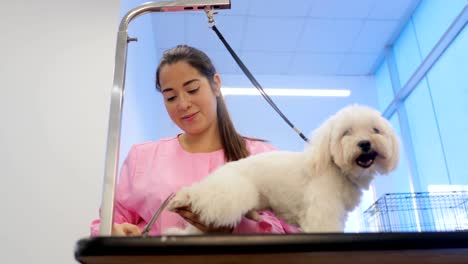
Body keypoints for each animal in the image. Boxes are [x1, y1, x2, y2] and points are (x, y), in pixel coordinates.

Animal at [165, 104, 398, 234]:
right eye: (346, 133)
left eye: (375, 130)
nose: (365, 143)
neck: (335, 168)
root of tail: (224, 170)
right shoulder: (322, 214)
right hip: (232, 194)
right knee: (201, 195)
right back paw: (181, 198)